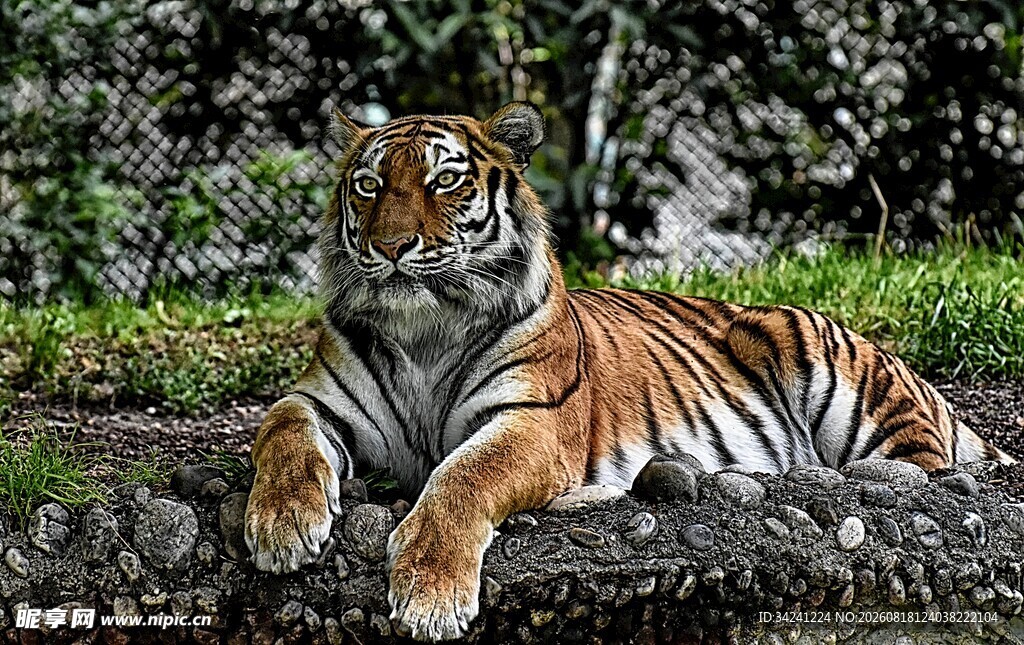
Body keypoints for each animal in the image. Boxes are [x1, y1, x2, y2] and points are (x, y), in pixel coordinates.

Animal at [243, 101, 1015, 641]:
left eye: (445, 181)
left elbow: (462, 478)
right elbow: (281, 432)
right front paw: (282, 527)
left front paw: (429, 595)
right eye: (369, 186)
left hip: (848, 383)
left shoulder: (532, 421)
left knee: (924, 473)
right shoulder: (320, 400)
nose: (392, 245)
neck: (424, 328)